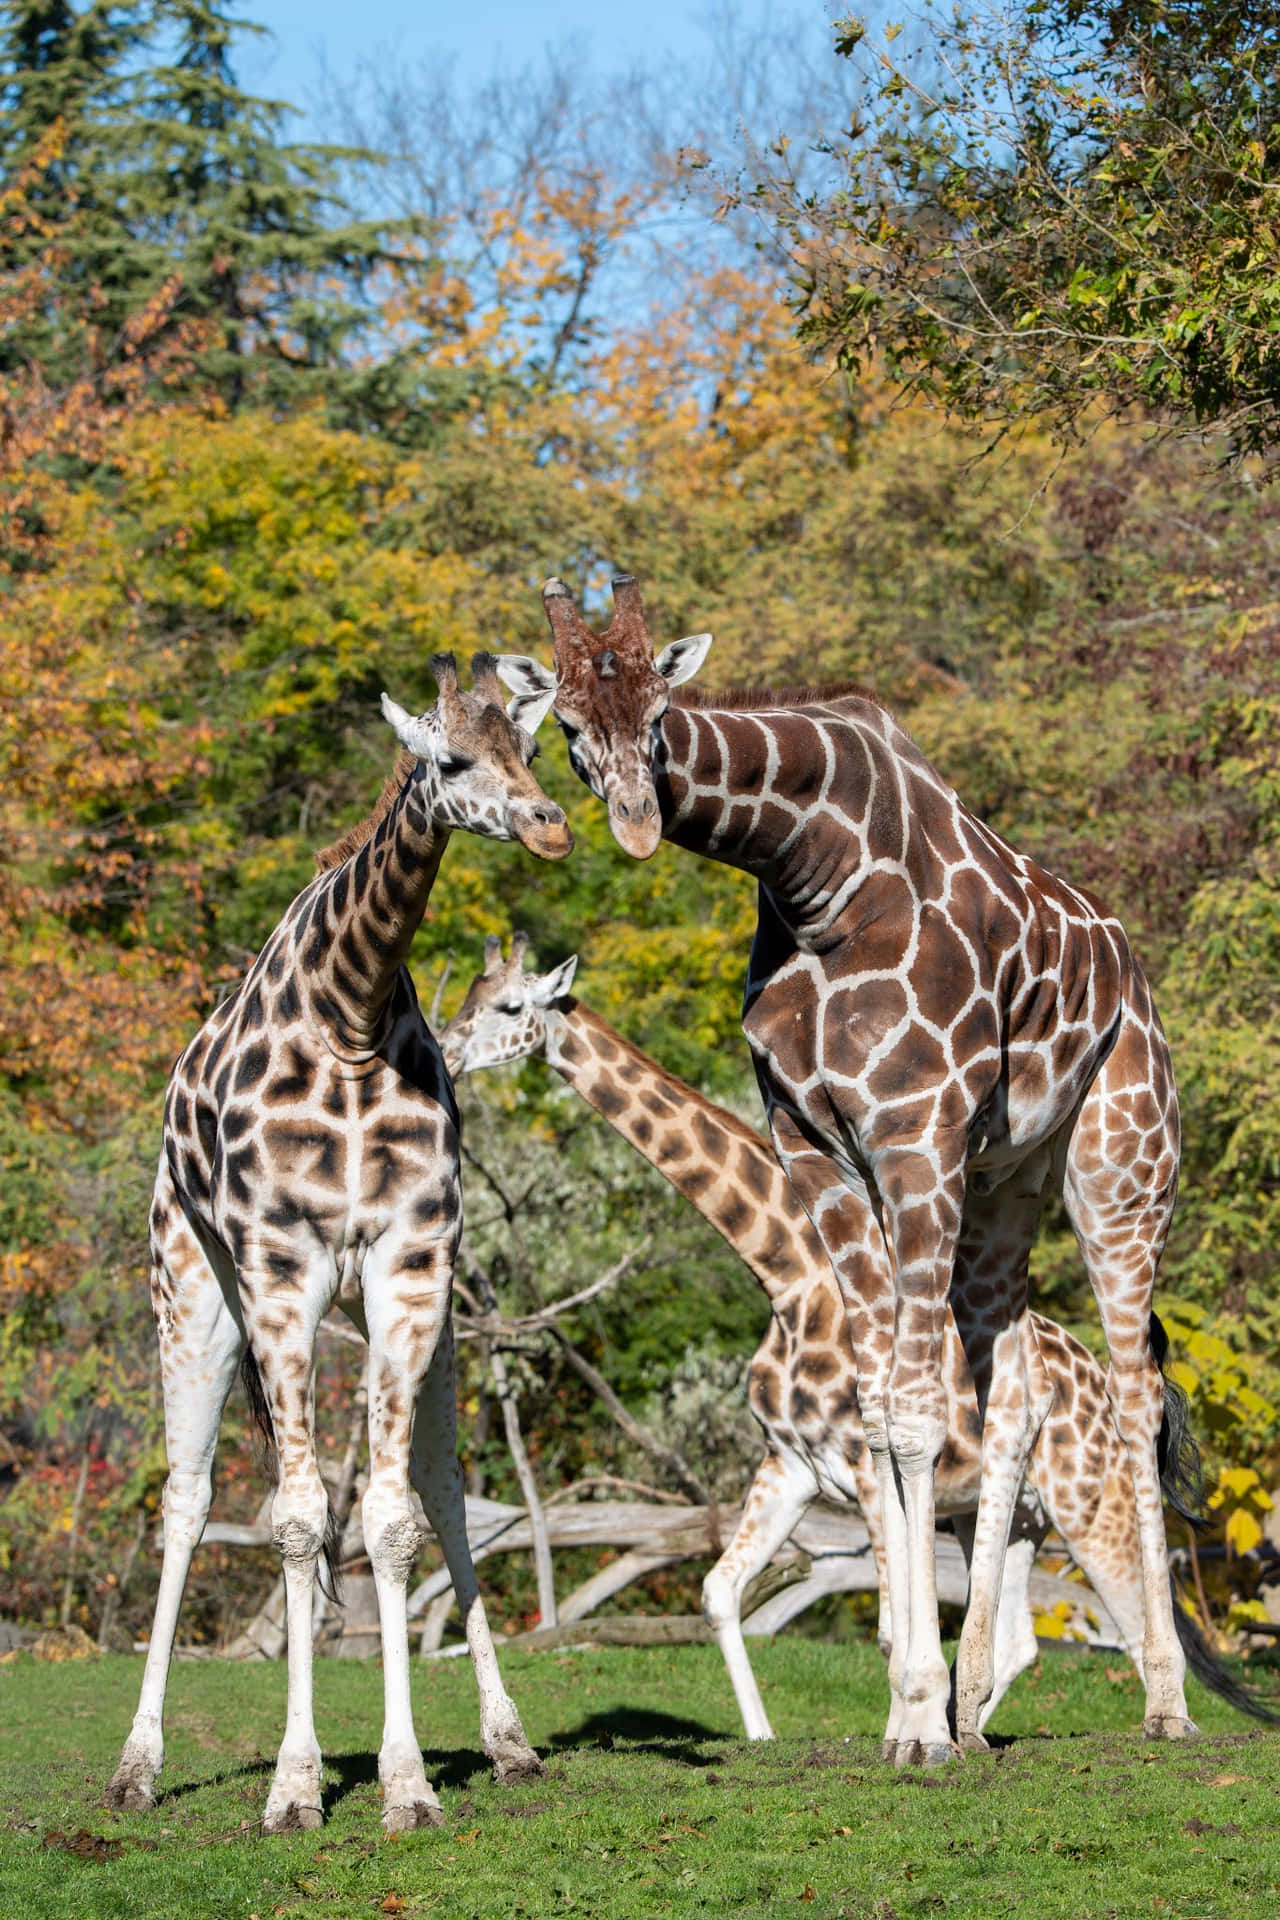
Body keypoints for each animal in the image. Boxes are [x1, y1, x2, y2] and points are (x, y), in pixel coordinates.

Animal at [105, 656, 571, 1827]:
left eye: (531, 749)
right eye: (446, 759)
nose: (548, 826)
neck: (349, 1016)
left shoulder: (411, 1272)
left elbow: (394, 1518)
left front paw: (407, 1782)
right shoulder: (281, 1277)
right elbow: (296, 1519)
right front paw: (293, 1784)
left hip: (414, 1326)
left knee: (441, 1492)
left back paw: (506, 1742)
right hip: (192, 1300)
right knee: (187, 1501)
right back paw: (136, 1766)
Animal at [441, 936, 1258, 1751]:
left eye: (508, 1007)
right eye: (465, 998)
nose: (445, 1052)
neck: (790, 1280)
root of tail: (1090, 1379)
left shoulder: (864, 1470)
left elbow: (891, 1630)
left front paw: (908, 1730)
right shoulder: (792, 1467)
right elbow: (719, 1592)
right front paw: (772, 1736)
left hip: (1092, 1509)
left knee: (1130, 1626)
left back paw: (1152, 1718)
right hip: (1013, 1518)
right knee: (1020, 1636)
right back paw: (970, 1725)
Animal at [498, 572, 1189, 1766]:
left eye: (661, 715)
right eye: (568, 730)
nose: (635, 827)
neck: (813, 872)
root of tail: (1131, 973)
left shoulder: (913, 1131)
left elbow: (907, 1417)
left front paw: (915, 1720)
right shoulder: (814, 1145)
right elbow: (877, 1414)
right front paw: (920, 1710)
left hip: (1118, 1165)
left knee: (1136, 1395)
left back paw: (1165, 1702)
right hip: (1004, 1187)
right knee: (1009, 1402)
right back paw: (976, 1702)